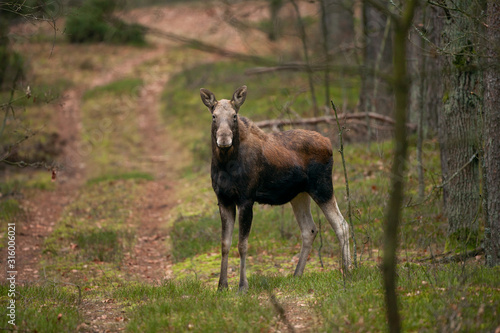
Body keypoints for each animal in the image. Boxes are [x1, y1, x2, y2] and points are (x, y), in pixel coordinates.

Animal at [199, 85, 352, 290]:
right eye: (214, 116)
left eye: (234, 115)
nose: (224, 139)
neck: (225, 164)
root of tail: (329, 143)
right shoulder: (223, 199)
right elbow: (225, 244)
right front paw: (222, 286)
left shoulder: (246, 199)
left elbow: (242, 245)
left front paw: (242, 286)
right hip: (299, 194)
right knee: (309, 229)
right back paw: (297, 274)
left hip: (322, 187)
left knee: (341, 224)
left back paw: (348, 270)